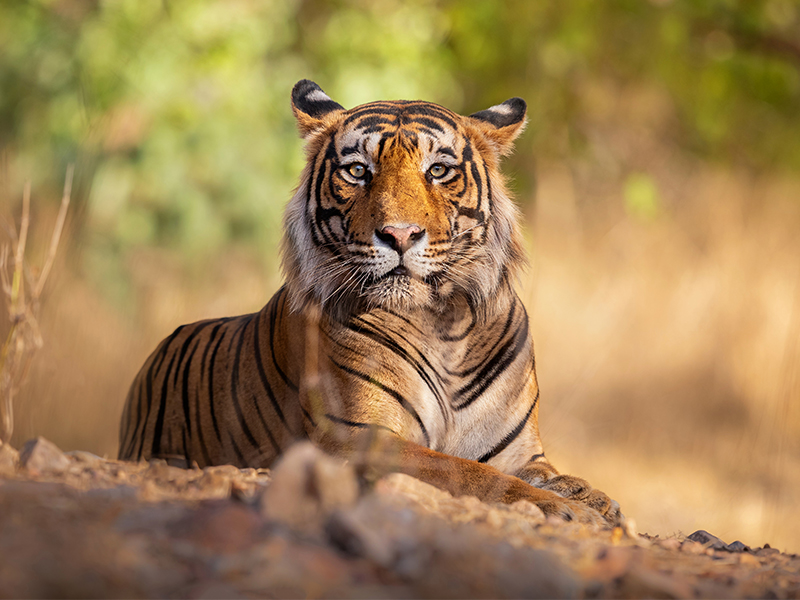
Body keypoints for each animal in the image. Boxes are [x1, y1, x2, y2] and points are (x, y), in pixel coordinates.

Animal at [118, 79, 621, 525]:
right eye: (358, 171)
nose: (399, 234)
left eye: (438, 170)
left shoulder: (518, 450)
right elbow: (468, 473)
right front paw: (564, 509)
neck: (444, 326)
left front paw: (592, 498)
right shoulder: (359, 439)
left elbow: (547, 474)